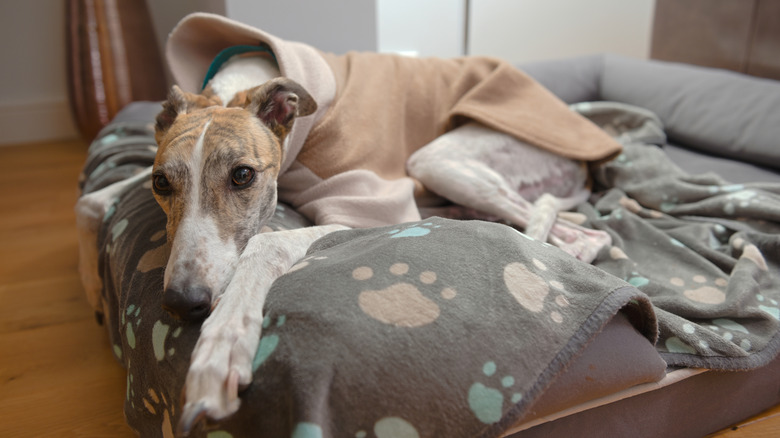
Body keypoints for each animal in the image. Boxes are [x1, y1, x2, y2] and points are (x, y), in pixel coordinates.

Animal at [76, 13, 620, 434]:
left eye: (243, 175)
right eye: (161, 182)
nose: (182, 301)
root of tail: (585, 165)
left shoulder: (365, 208)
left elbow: (264, 246)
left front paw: (221, 349)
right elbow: (89, 202)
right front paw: (96, 292)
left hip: (441, 158)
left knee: (585, 231)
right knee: (576, 228)